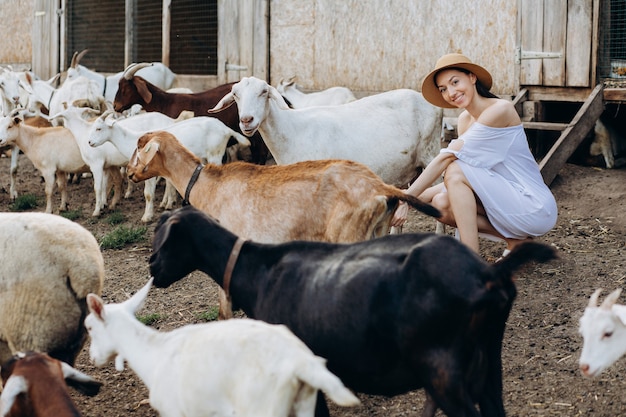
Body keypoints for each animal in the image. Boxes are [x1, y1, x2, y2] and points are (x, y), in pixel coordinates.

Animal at [84, 278, 356, 416]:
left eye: (89, 327)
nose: (93, 359)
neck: (153, 352)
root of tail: (301, 363)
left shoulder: (177, 411)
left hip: (261, 408)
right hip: (302, 406)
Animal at [127, 131, 438, 318]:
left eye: (138, 148)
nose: (129, 172)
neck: (208, 185)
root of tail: (380, 187)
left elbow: (224, 308)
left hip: (349, 234)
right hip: (377, 231)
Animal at [147, 206, 556, 416]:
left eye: (164, 238)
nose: (152, 267)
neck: (256, 272)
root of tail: (489, 275)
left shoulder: (299, 369)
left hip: (445, 372)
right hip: (487, 365)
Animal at [210, 75, 438, 185]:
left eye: (264, 92)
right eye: (235, 95)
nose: (246, 120)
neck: (292, 132)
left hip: (431, 156)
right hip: (404, 168)